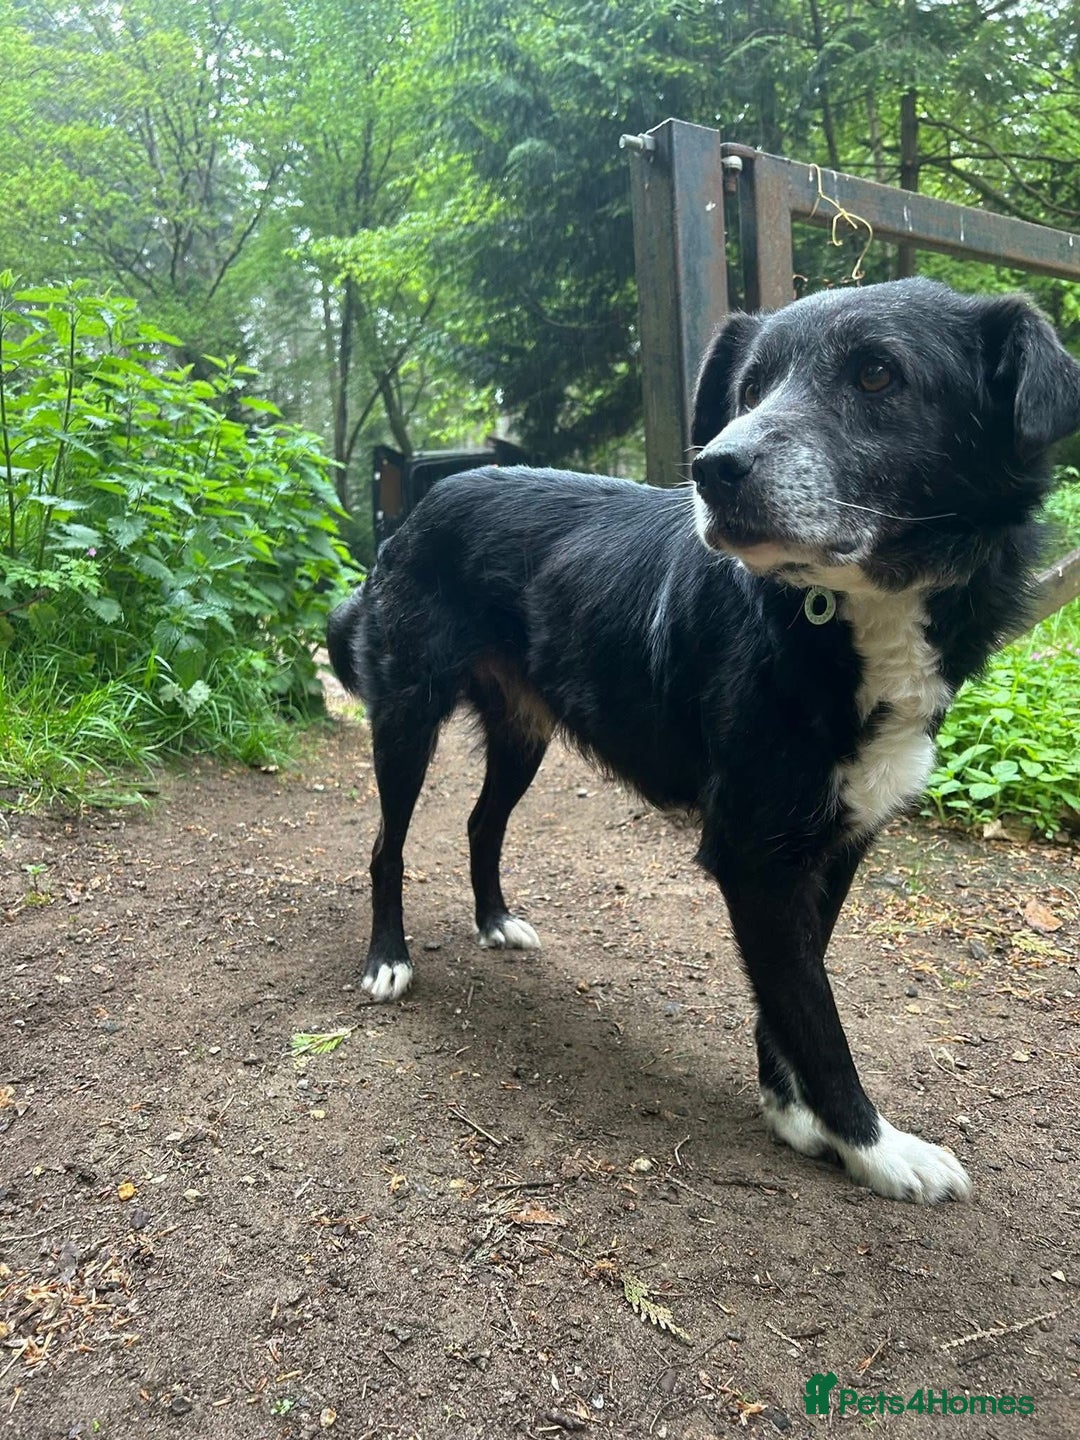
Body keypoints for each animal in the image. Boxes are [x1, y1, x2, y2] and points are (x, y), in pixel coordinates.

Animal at [328, 278, 1080, 1203]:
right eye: (748, 390)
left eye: (877, 374)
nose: (714, 468)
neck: (836, 616)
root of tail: (422, 503)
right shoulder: (755, 855)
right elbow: (814, 1010)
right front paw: (873, 1146)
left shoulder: (835, 842)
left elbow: (791, 988)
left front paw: (793, 1114)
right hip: (406, 714)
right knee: (387, 844)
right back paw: (387, 960)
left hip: (524, 730)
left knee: (480, 824)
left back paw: (496, 920)